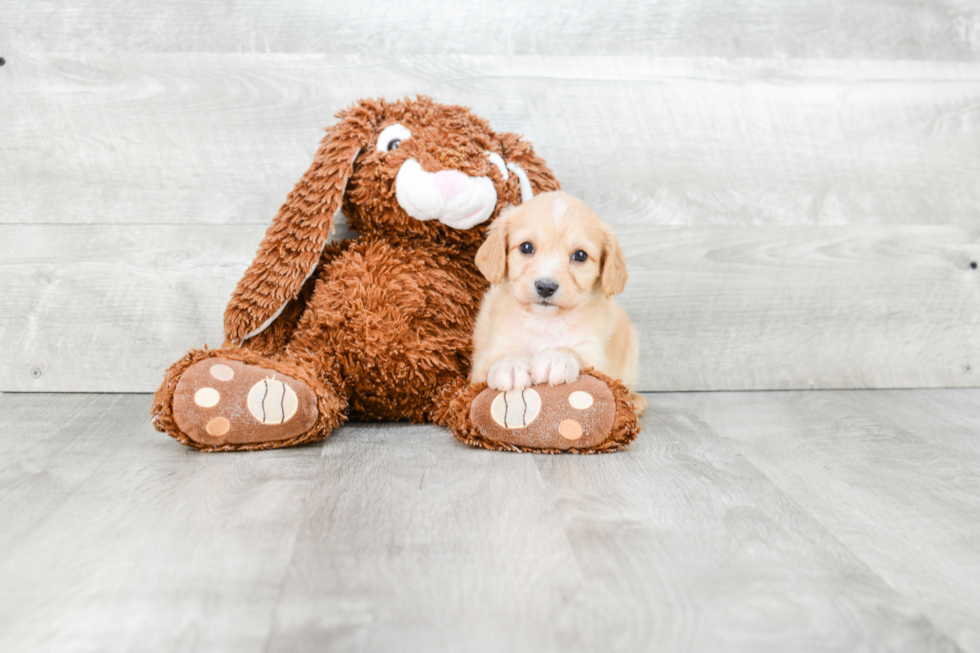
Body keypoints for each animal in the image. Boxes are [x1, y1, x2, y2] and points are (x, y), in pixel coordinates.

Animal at [470, 190, 648, 412]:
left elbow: (574, 351)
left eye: (580, 255)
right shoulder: (487, 356)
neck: (546, 321)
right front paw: (509, 364)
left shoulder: (595, 356)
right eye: (526, 247)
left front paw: (557, 357)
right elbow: (501, 356)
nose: (546, 287)